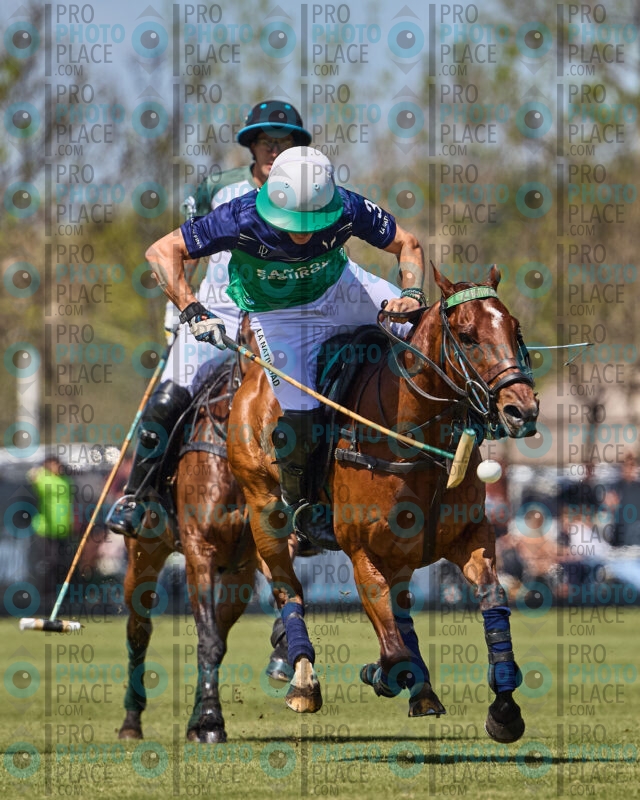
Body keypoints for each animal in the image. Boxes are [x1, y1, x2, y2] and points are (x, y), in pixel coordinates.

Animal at [117, 324, 293, 744]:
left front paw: (282, 653)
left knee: (220, 631)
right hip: (143, 554)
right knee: (139, 629)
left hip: (237, 576)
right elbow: (206, 639)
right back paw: (132, 721)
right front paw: (211, 720)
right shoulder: (200, 550)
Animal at [226, 265, 539, 743]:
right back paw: (303, 681)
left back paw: (422, 690)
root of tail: (252, 375)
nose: (522, 410)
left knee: (400, 605)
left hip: (403, 551)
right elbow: (391, 652)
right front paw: (379, 672)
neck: (414, 439)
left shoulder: (471, 535)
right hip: (264, 506)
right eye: (467, 337)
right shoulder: (362, 552)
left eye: (515, 329)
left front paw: (504, 709)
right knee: (285, 586)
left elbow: (493, 599)